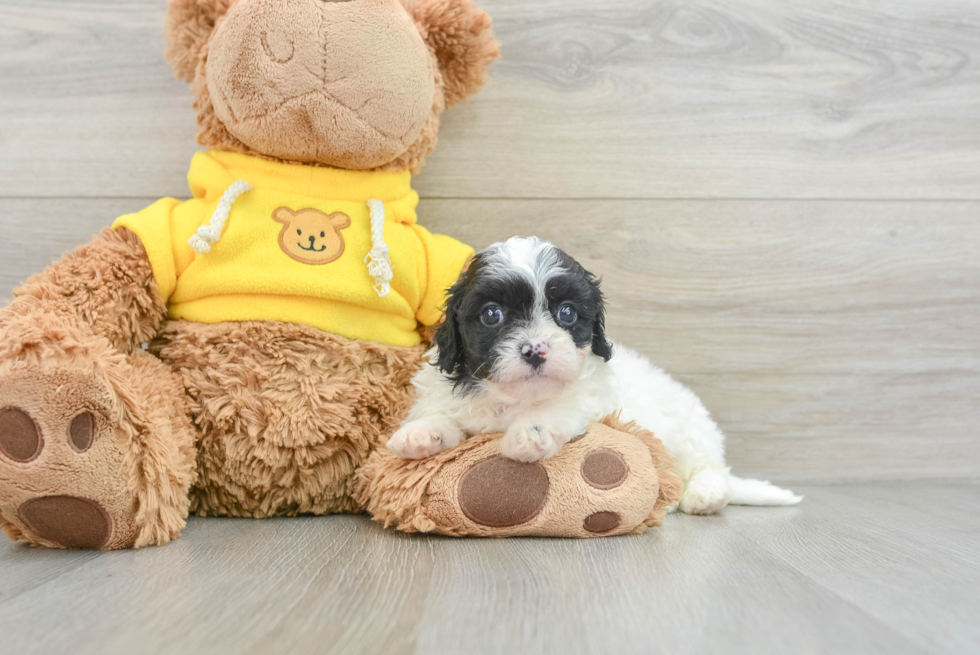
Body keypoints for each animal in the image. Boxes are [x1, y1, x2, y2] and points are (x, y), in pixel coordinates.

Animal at [386, 238, 800, 516]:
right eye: (491, 315)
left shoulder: (593, 400)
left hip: (690, 428)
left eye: (567, 312)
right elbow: (443, 415)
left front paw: (530, 433)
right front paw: (419, 434)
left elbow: (561, 408)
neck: (518, 398)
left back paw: (704, 495)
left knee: (710, 466)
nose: (535, 349)